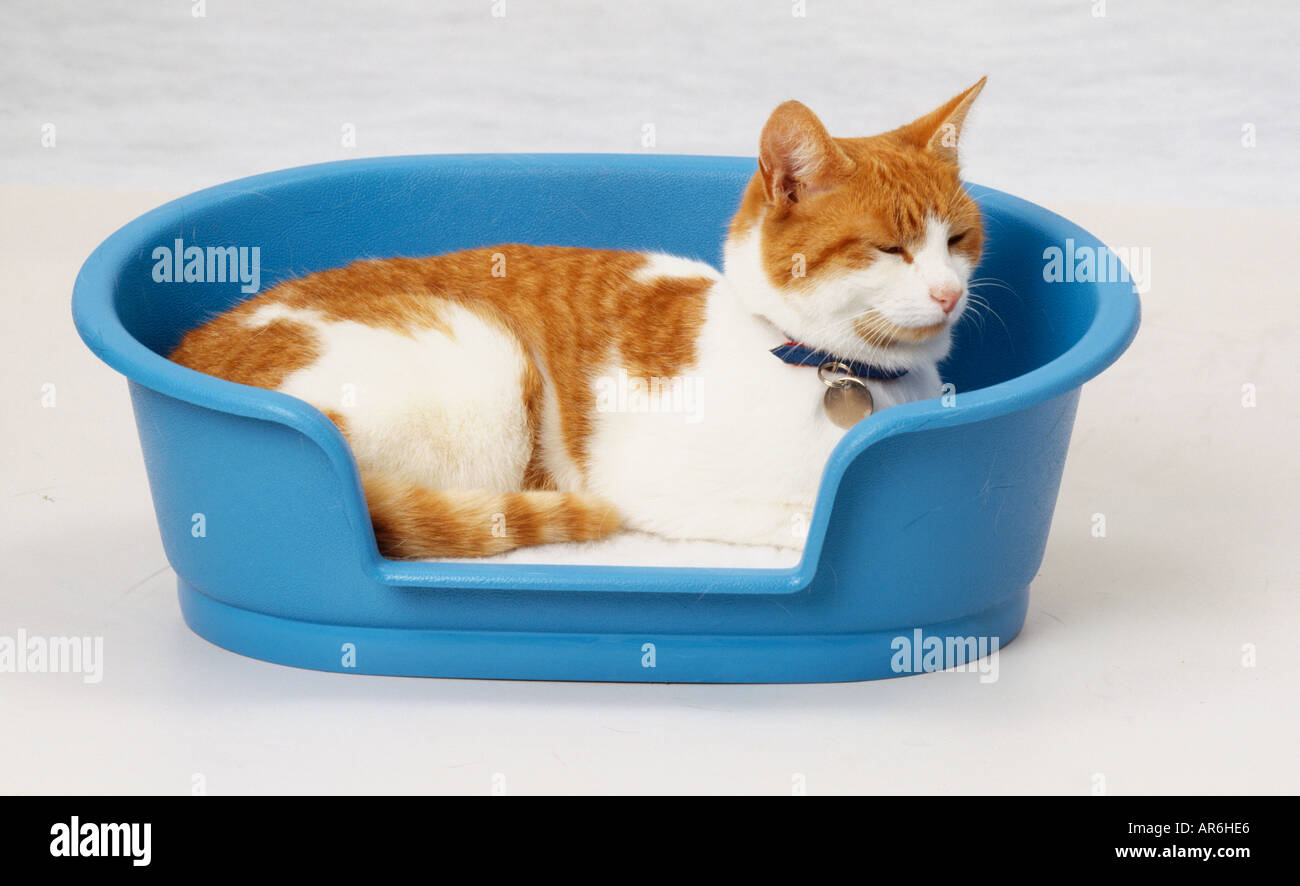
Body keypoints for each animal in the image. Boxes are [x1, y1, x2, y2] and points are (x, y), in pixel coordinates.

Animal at [170, 79, 982, 556]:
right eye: (889, 249)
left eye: (958, 240)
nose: (949, 293)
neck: (838, 370)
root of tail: (196, 354)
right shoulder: (657, 484)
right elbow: (809, 508)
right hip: (488, 363)